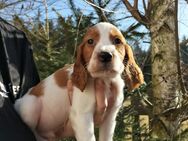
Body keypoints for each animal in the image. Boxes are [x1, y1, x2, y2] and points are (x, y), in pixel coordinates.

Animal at [14, 22, 144, 140]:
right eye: (90, 41)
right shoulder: (82, 116)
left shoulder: (110, 118)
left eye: (117, 41)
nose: (105, 55)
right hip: (30, 106)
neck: (105, 80)